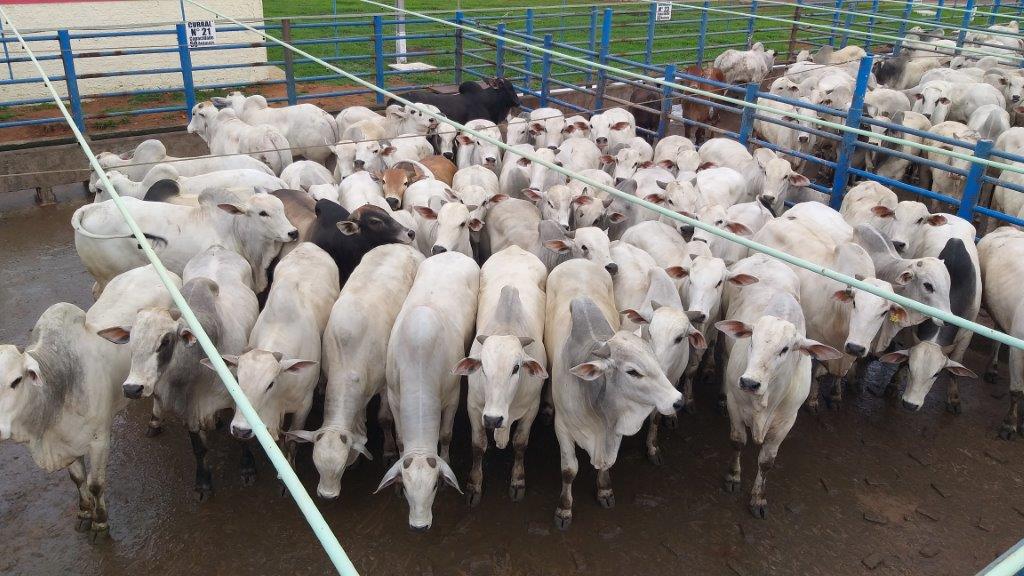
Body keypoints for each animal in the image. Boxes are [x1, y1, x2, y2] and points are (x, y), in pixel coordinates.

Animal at [284, 243, 423, 496]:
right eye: (317, 465)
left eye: (339, 469)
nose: (326, 495)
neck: (350, 355)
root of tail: (402, 245)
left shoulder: (384, 384)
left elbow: (384, 419)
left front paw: (388, 451)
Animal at [378, 251, 481, 528]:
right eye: (406, 489)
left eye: (434, 486)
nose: (419, 527)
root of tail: (453, 253)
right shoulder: (394, 396)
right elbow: (400, 438)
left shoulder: (452, 397)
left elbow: (445, 435)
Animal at [458, 247, 552, 502]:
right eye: (483, 368)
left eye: (516, 368)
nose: (493, 419)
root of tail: (514, 248)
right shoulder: (474, 406)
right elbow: (478, 445)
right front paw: (474, 484)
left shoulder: (532, 408)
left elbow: (520, 443)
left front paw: (518, 480)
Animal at [544, 258, 679, 528]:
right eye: (633, 372)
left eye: (656, 361)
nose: (677, 400)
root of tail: (576, 259)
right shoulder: (562, 428)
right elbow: (569, 470)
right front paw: (564, 509)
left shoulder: (613, 432)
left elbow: (607, 464)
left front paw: (604, 490)